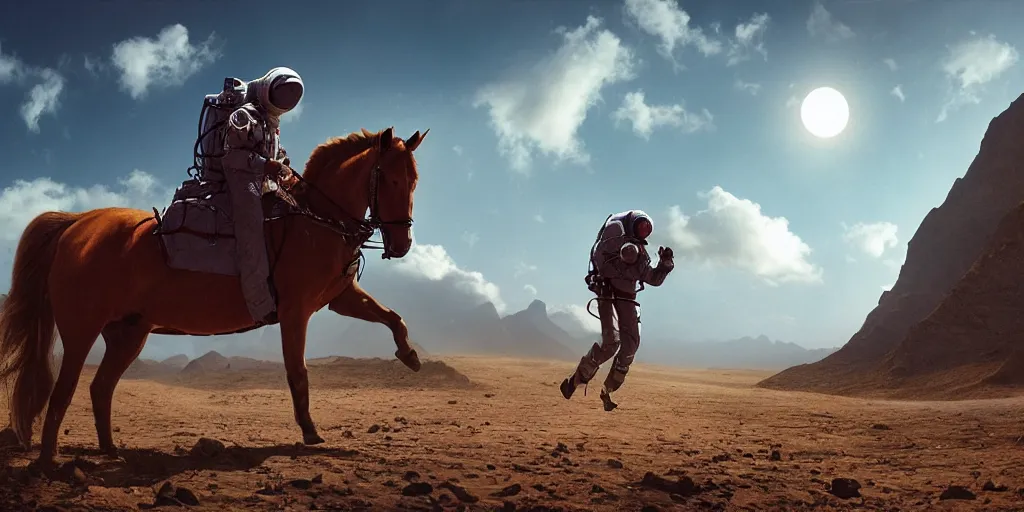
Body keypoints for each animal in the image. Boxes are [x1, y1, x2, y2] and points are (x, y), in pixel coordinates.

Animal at [0, 125, 428, 466]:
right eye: (389, 179)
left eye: (414, 181)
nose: (402, 243)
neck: (314, 221)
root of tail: (77, 223)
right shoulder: (296, 312)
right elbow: (298, 372)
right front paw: (309, 431)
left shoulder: (341, 298)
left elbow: (393, 316)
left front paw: (409, 356)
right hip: (81, 332)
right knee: (62, 392)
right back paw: (48, 462)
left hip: (127, 334)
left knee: (100, 387)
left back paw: (110, 450)